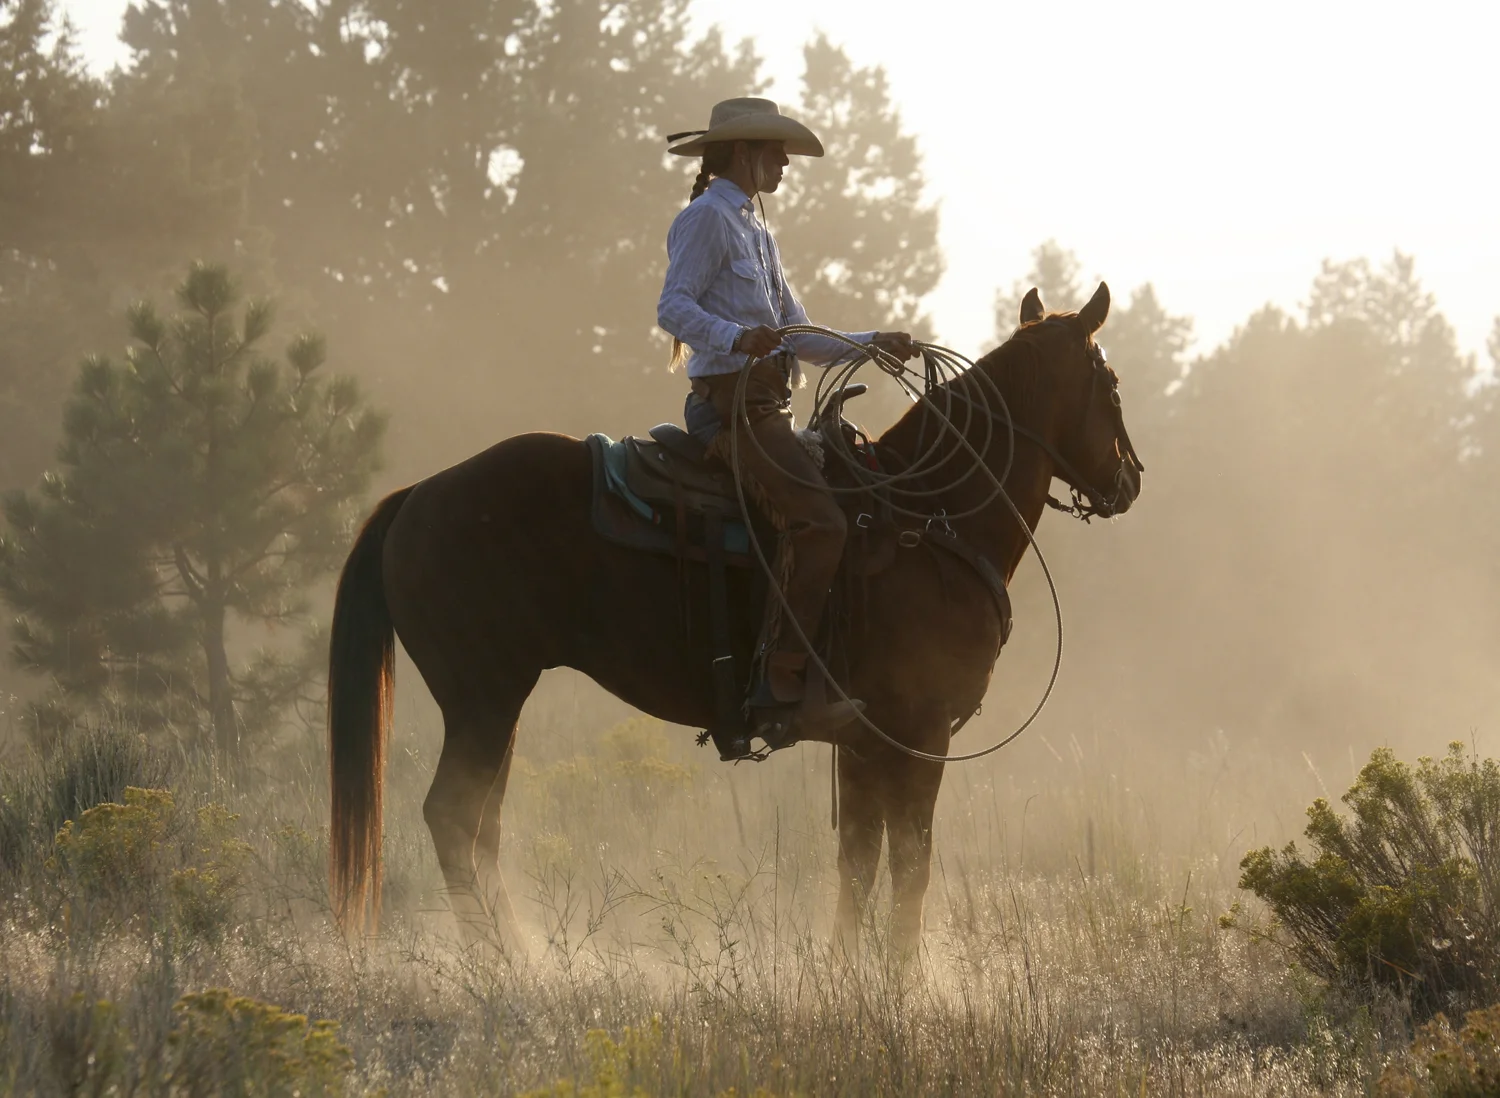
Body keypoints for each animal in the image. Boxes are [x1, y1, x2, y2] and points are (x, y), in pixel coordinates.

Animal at [327, 282, 1142, 953]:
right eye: (1110, 380)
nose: (1130, 479)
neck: (929, 517)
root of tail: (419, 494)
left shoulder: (866, 739)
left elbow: (859, 859)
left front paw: (849, 975)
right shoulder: (921, 730)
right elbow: (910, 862)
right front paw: (906, 983)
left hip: (497, 703)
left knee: (483, 825)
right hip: (481, 696)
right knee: (452, 816)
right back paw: (504, 966)